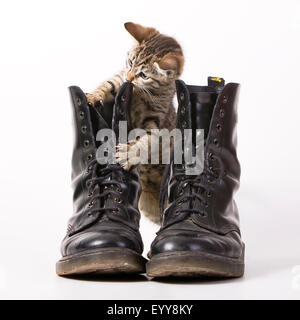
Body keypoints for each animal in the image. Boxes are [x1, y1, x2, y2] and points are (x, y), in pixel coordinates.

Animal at [86, 21, 184, 225]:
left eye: (144, 75)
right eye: (130, 63)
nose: (130, 78)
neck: (142, 92)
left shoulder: (157, 125)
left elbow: (147, 141)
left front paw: (129, 154)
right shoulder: (120, 79)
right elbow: (108, 84)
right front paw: (93, 96)